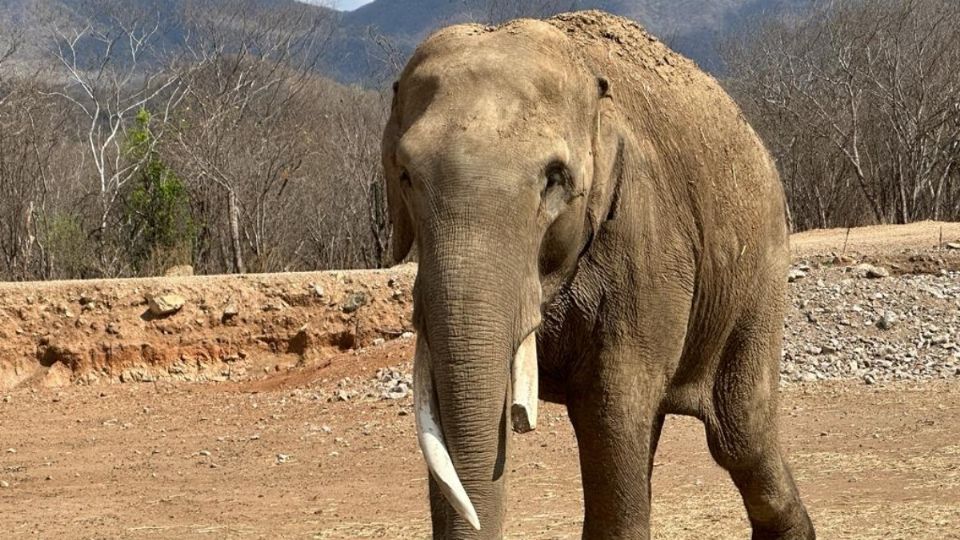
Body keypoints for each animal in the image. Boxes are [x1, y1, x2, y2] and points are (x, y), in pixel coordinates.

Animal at [378, 8, 812, 540]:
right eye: (405, 175)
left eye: (555, 179)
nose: (520, 419)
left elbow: (612, 407)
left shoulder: (645, 240)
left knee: (739, 435)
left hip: (759, 273)